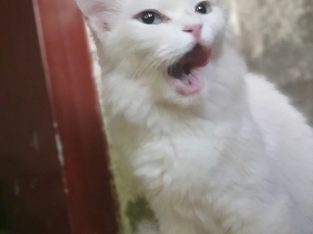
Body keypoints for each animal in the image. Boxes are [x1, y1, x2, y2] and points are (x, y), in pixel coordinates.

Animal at [75, 0, 312, 233]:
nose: (195, 27)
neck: (183, 122)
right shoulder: (174, 218)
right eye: (149, 18)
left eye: (202, 9)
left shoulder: (262, 211)